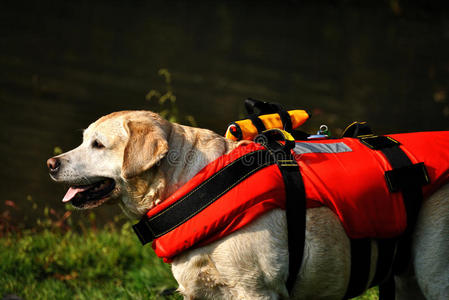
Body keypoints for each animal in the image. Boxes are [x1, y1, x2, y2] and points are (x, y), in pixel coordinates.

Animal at [48, 110, 448, 300]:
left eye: (98, 145)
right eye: (83, 140)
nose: (51, 164)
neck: (190, 180)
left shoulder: (256, 290)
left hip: (433, 272)